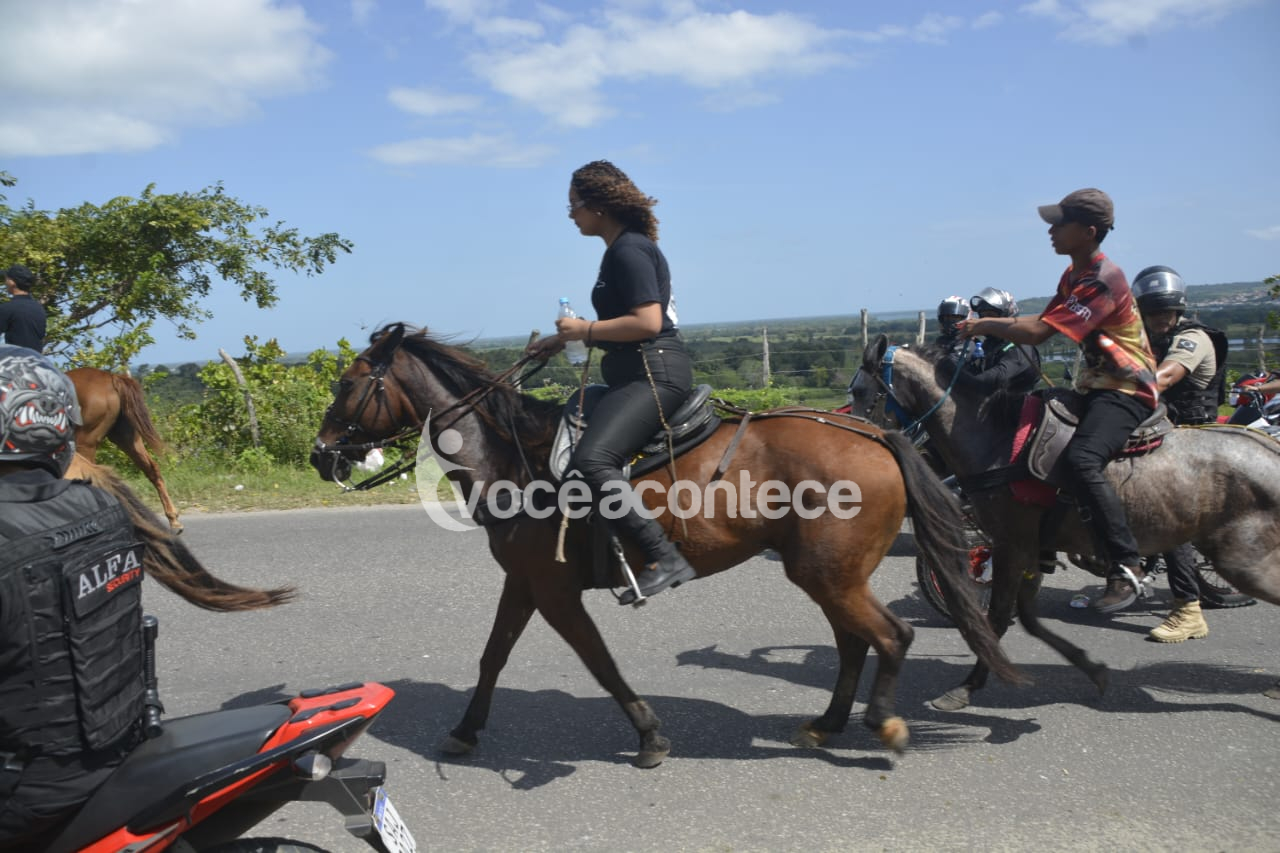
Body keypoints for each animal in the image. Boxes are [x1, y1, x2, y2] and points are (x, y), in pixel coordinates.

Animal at [310, 323, 1023, 768]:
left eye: (348, 384)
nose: (321, 455)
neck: (519, 461)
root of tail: (875, 436)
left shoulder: (556, 591)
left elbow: (600, 663)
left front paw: (650, 734)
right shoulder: (526, 582)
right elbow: (493, 656)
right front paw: (463, 730)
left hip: (830, 574)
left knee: (891, 637)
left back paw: (883, 724)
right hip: (829, 573)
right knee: (855, 641)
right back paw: (828, 722)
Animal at [848, 335, 1280, 710]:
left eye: (859, 392)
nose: (850, 440)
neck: (998, 440)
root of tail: (1268, 450)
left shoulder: (1011, 543)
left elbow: (998, 616)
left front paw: (967, 687)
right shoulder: (1029, 547)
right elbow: (1027, 617)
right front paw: (1092, 668)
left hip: (1243, 562)